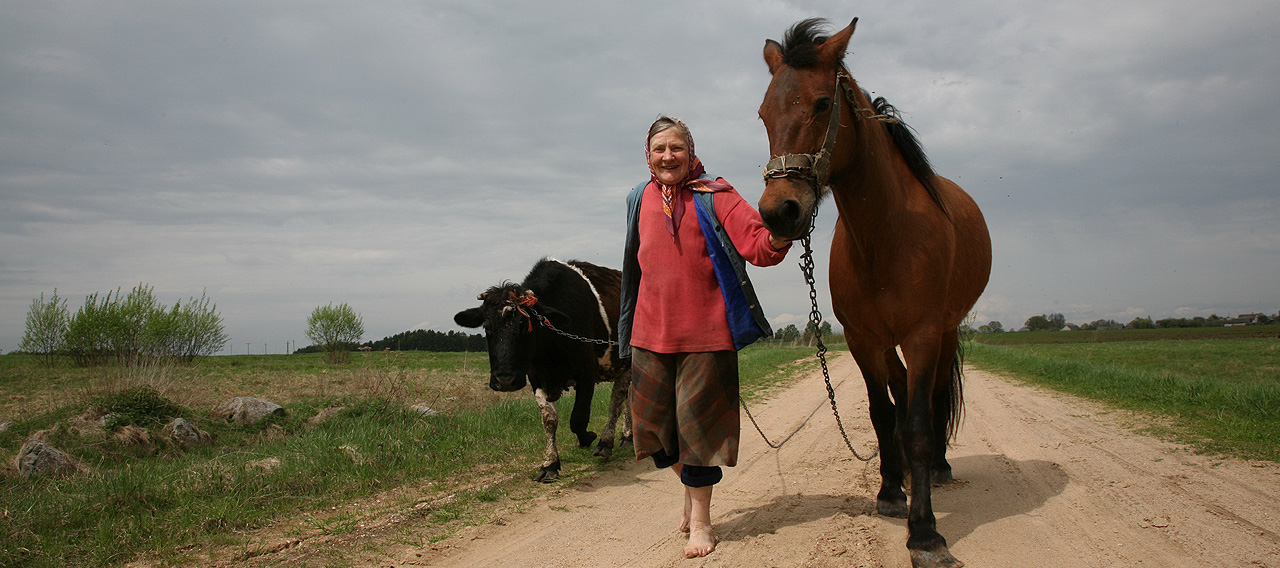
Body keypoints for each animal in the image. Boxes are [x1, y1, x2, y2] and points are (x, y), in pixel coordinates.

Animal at [453, 259, 632, 481]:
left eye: (524, 326)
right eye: (486, 327)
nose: (504, 380)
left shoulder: (587, 372)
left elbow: (578, 418)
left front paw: (588, 438)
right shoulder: (535, 378)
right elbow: (549, 419)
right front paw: (550, 464)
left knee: (617, 402)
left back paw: (607, 441)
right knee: (626, 400)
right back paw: (626, 436)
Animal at [752, 17, 993, 568]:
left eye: (822, 103)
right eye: (764, 113)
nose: (780, 212)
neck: (886, 234)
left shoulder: (922, 333)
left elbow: (921, 424)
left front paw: (925, 534)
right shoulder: (864, 340)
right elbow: (884, 415)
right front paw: (889, 493)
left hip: (945, 332)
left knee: (934, 396)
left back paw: (939, 470)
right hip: (887, 343)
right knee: (900, 393)